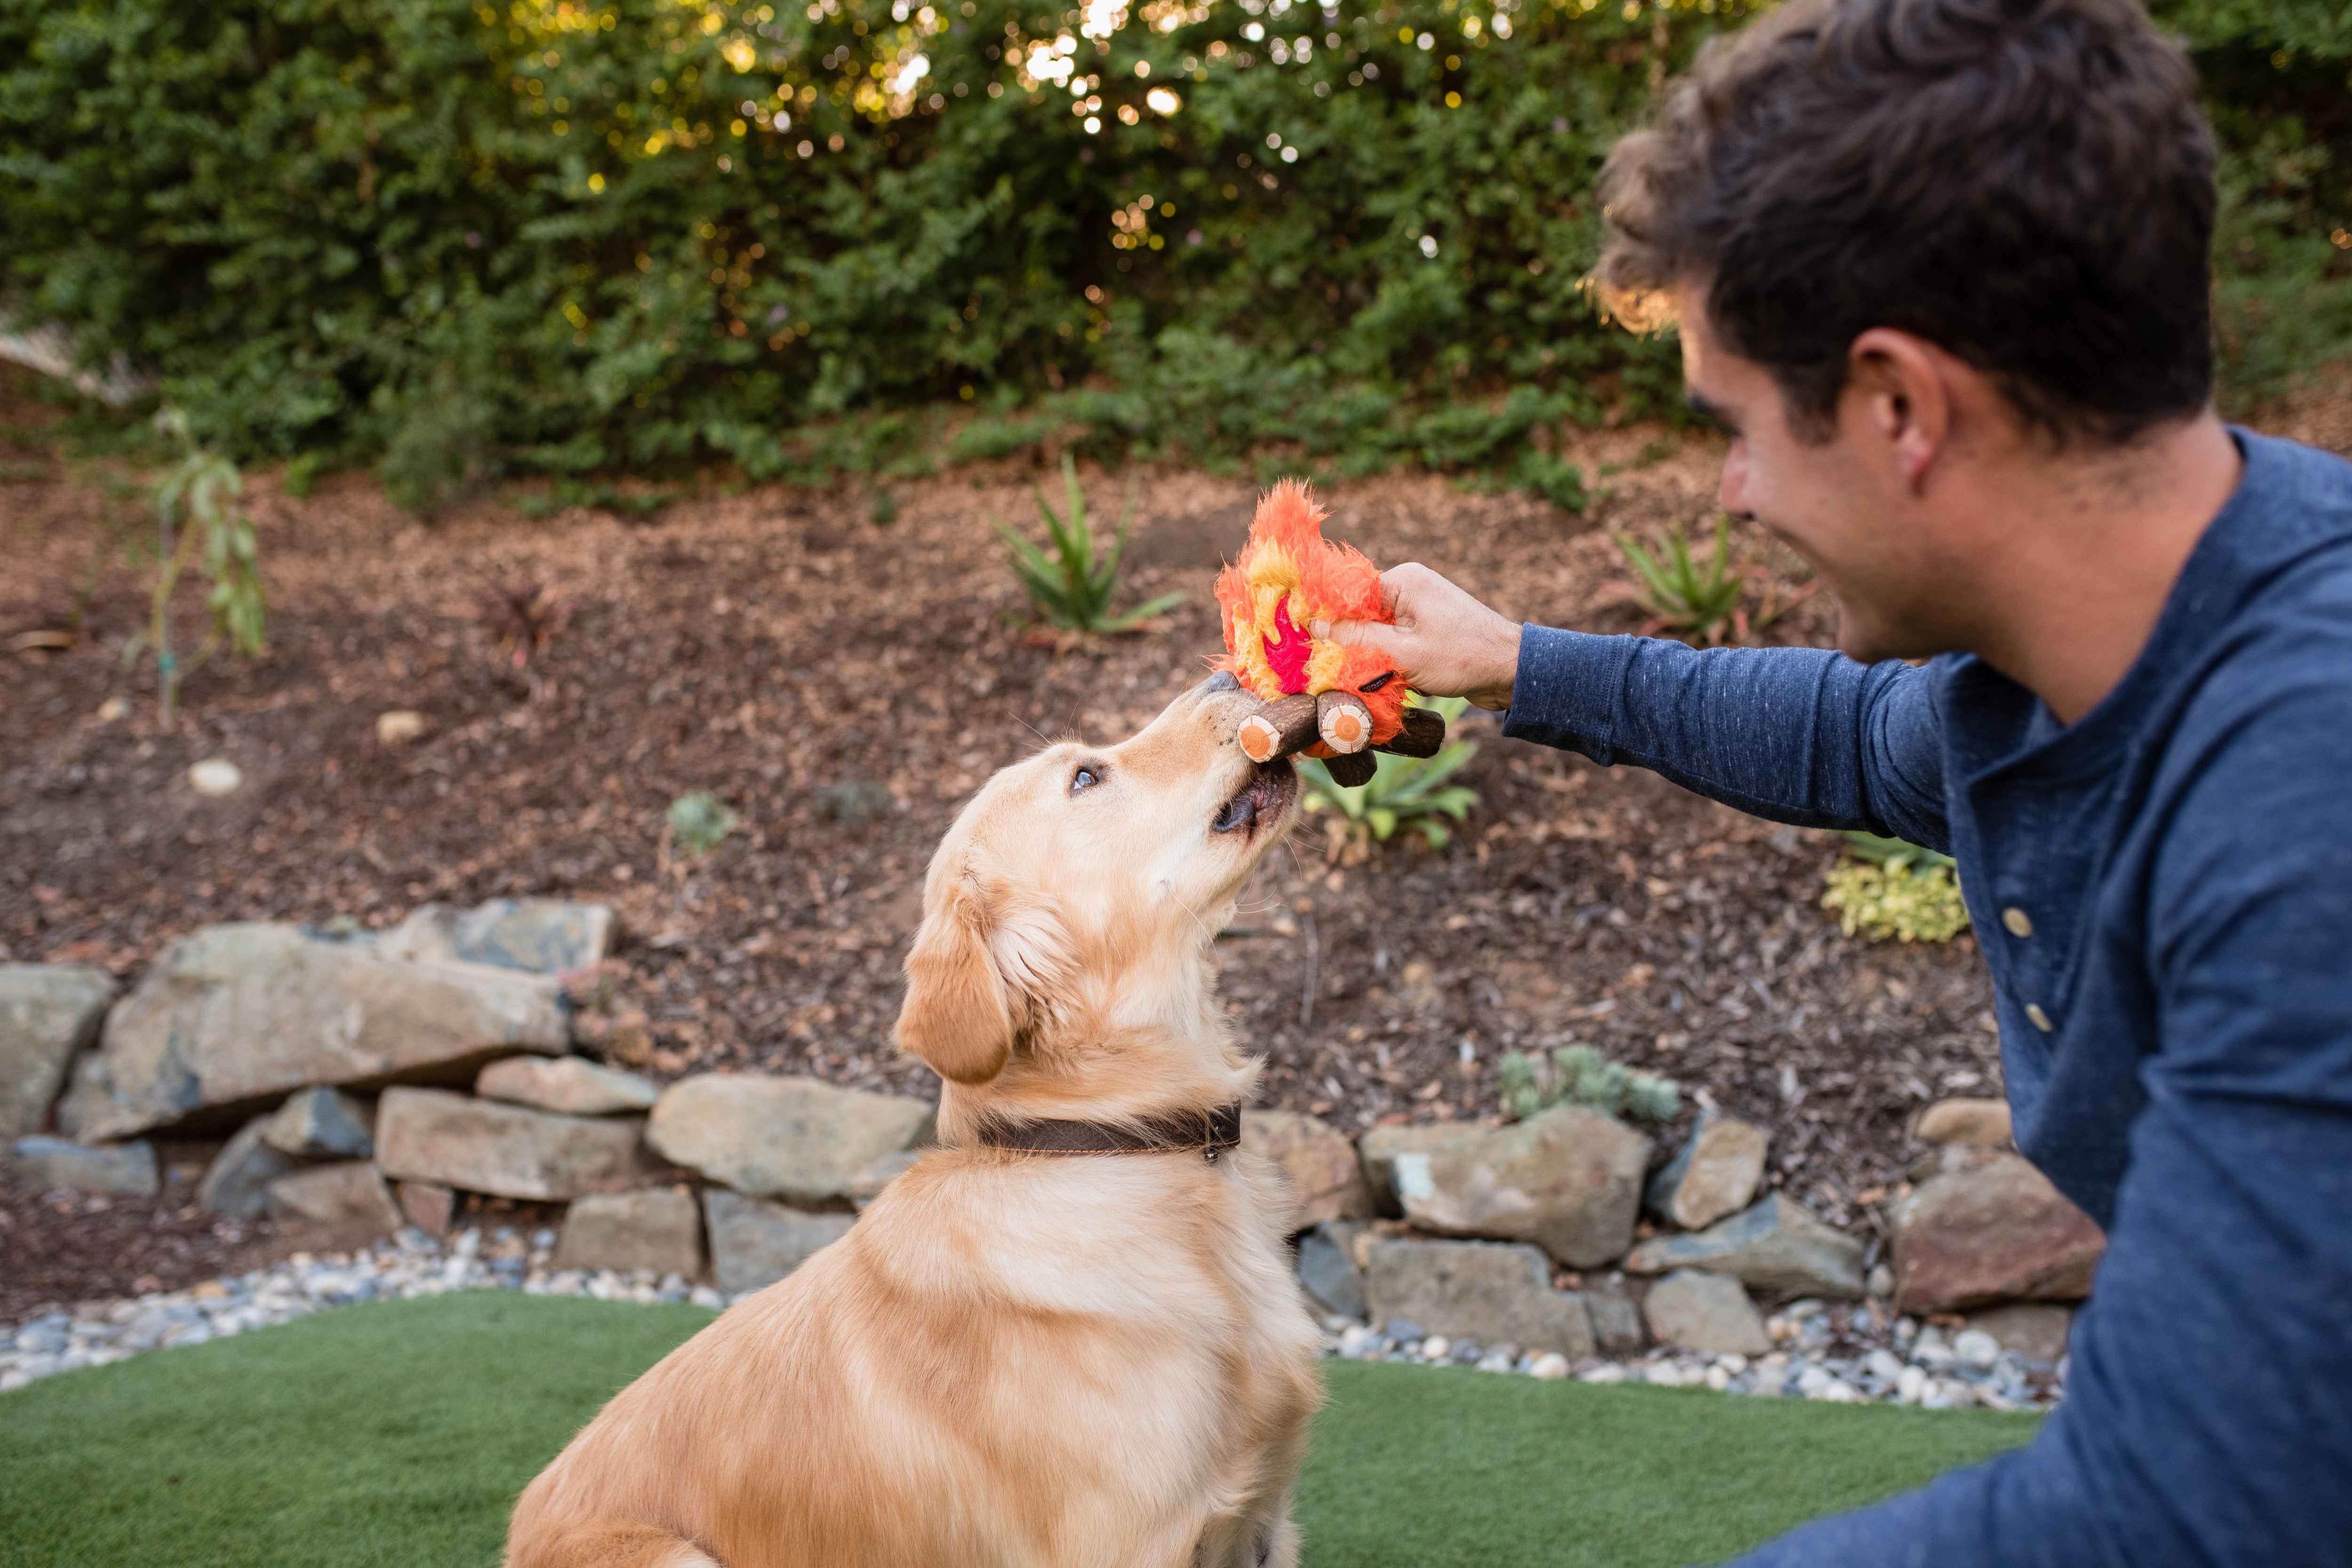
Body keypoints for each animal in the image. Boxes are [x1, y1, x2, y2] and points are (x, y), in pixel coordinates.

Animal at [503, 677, 1327, 1568]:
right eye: (1085, 777)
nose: (1225, 679)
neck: (1113, 1145)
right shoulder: (1128, 1541)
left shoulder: (1266, 1521)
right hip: (672, 1554)